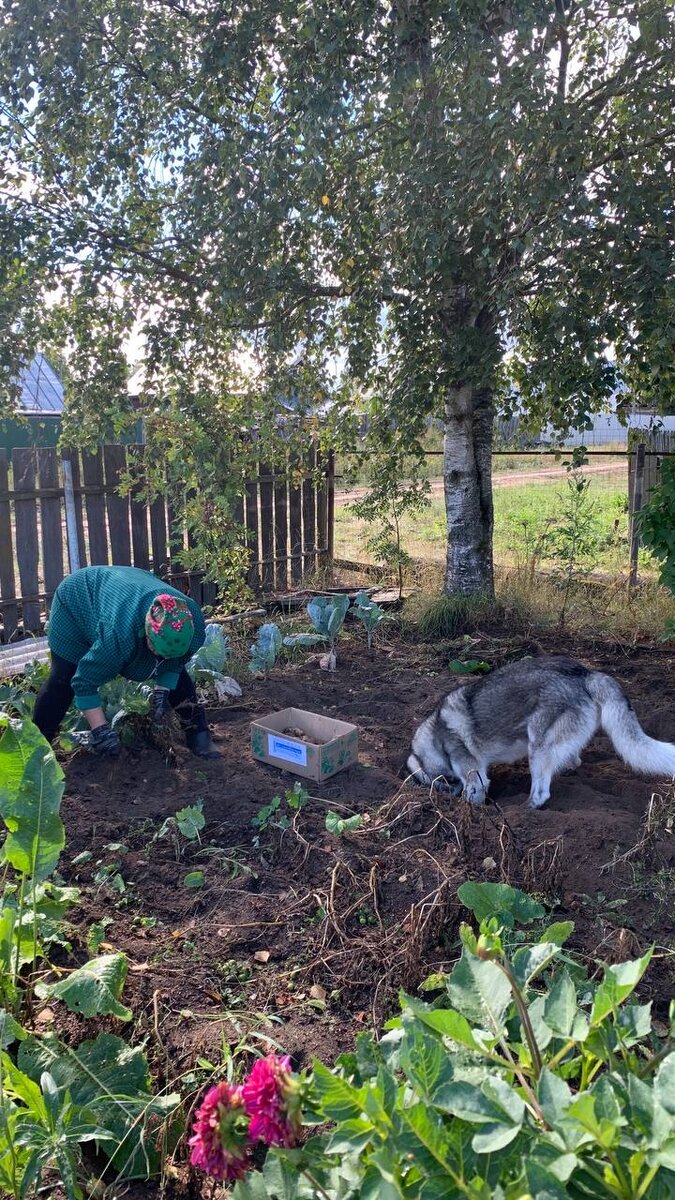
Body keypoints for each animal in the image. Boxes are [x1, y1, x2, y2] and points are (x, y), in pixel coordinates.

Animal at [403, 652, 672, 811]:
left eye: (445, 782)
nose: (449, 795)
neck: (436, 737)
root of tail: (586, 673)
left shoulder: (476, 778)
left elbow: (475, 795)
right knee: (573, 761)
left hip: (538, 749)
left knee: (541, 793)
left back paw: (524, 811)